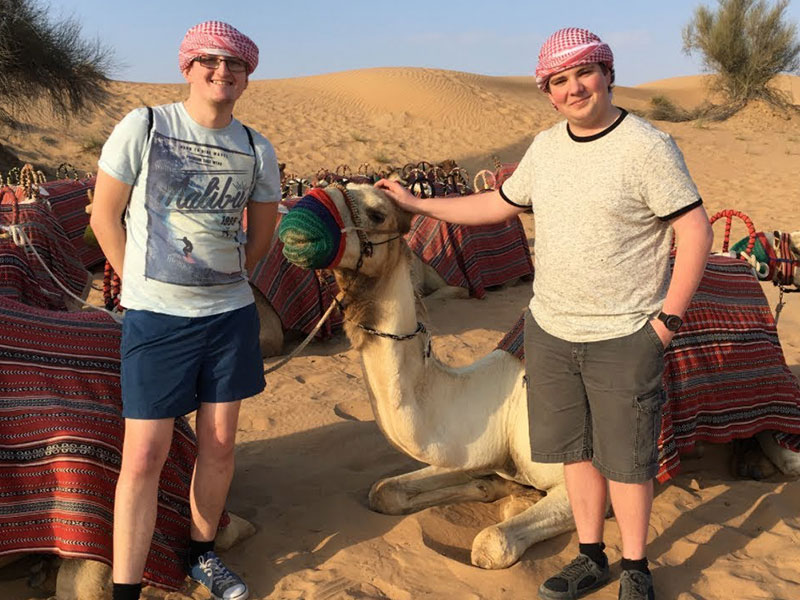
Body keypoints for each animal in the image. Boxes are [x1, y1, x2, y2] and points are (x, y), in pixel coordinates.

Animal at [276, 185, 800, 568]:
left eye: (376, 212)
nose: (296, 221)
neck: (500, 403)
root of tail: (739, 261)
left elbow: (491, 543)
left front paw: (505, 502)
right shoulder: (480, 448)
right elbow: (385, 491)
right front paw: (492, 488)